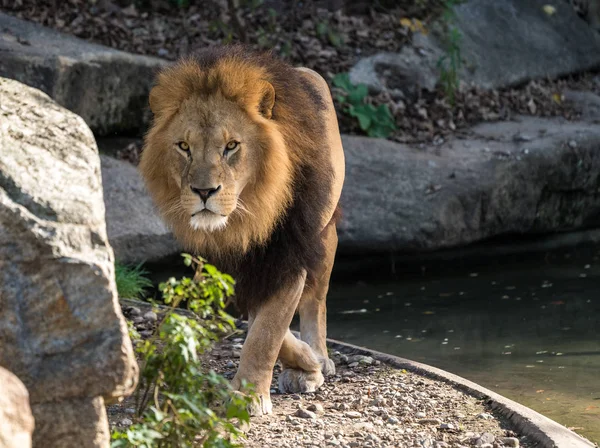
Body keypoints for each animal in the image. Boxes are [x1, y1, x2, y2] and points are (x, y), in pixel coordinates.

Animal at [139, 45, 344, 416]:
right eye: (184, 147)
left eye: (231, 146)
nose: (204, 191)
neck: (247, 217)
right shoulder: (234, 264)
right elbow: (264, 325)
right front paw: (301, 364)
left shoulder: (288, 252)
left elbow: (267, 332)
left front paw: (249, 395)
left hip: (324, 233)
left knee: (316, 301)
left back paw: (320, 355)